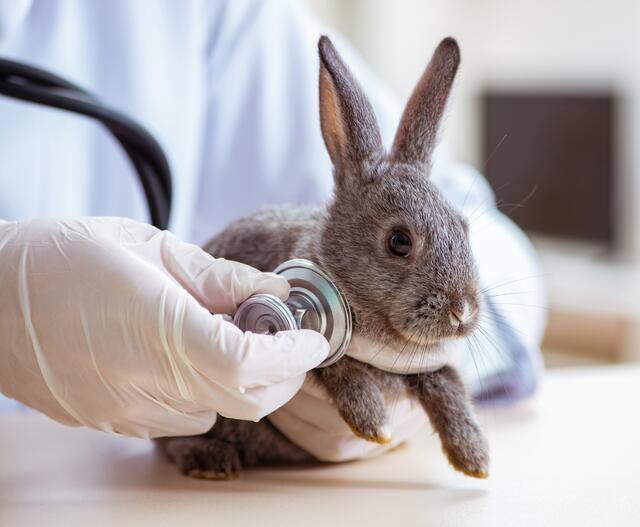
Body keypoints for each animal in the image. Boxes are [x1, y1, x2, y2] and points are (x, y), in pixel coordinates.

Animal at [157, 36, 489, 481]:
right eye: (399, 242)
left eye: (463, 226)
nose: (463, 311)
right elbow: (335, 367)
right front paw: (375, 424)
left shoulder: (427, 366)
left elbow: (447, 384)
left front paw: (474, 458)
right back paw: (210, 460)